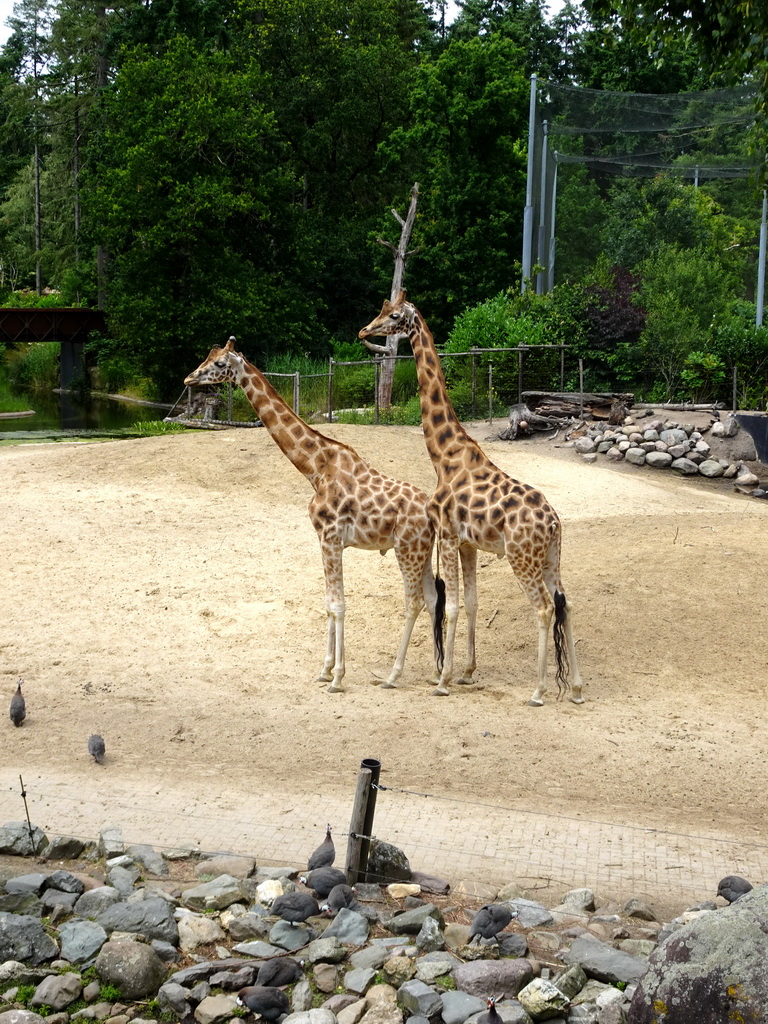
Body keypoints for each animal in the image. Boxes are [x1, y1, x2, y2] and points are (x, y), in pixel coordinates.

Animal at [184, 339, 444, 692]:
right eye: (208, 358)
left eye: (221, 364)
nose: (189, 378)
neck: (314, 468)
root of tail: (432, 514)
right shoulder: (325, 540)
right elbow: (328, 603)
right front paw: (325, 670)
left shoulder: (330, 538)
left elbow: (337, 604)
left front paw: (337, 677)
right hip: (423, 551)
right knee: (432, 599)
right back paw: (436, 674)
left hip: (407, 549)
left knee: (414, 602)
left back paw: (393, 675)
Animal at [358, 292, 585, 700]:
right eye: (381, 311)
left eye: (394, 316)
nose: (364, 330)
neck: (443, 456)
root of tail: (554, 524)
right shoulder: (468, 543)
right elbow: (472, 602)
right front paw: (466, 671)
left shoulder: (448, 535)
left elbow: (450, 606)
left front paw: (443, 681)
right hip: (551, 558)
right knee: (567, 604)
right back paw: (575, 687)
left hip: (522, 558)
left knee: (544, 609)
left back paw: (539, 691)